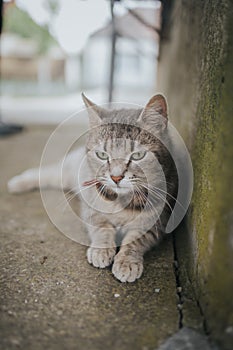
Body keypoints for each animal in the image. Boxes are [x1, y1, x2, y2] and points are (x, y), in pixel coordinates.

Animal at [7, 94, 178, 284]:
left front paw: (127, 261)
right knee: (44, 172)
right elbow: (101, 228)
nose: (116, 177)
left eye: (137, 156)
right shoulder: (91, 209)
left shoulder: (156, 223)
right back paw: (18, 182)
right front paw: (101, 250)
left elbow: (135, 241)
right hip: (67, 171)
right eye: (102, 155)